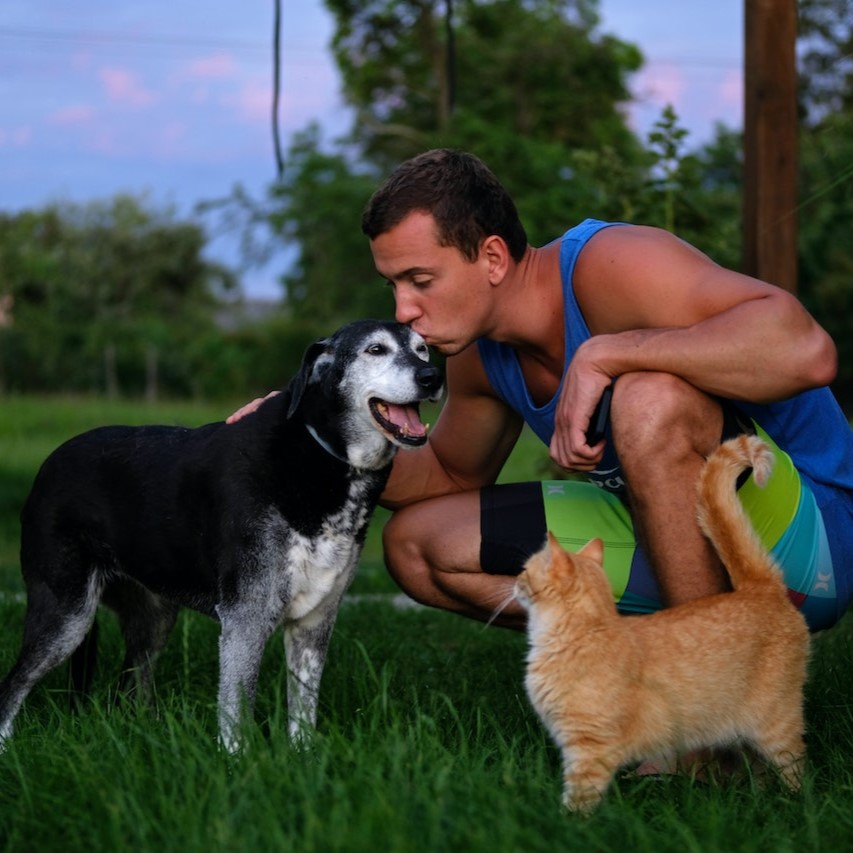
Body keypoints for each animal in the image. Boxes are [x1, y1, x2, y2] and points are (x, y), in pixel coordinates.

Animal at [0, 322, 440, 752]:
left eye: (422, 349)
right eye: (375, 350)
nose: (433, 376)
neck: (321, 454)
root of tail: (49, 464)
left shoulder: (314, 622)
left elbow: (302, 712)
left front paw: (304, 762)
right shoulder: (247, 616)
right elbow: (236, 712)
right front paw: (237, 766)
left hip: (153, 617)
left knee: (130, 685)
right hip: (66, 615)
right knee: (12, 687)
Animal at [516, 436, 808, 816]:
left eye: (525, 569)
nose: (515, 580)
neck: (584, 632)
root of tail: (758, 587)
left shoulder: (589, 749)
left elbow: (578, 799)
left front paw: (564, 821)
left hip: (775, 724)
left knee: (795, 768)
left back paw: (793, 805)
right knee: (757, 768)